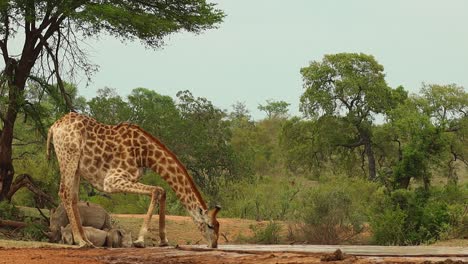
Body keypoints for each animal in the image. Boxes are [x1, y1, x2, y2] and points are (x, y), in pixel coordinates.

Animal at [47, 112, 221, 249]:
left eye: (218, 225)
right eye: (210, 226)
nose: (214, 245)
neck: (146, 155)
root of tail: (54, 126)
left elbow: (162, 190)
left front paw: (163, 240)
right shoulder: (112, 181)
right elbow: (156, 190)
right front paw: (140, 240)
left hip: (76, 166)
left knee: (73, 197)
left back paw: (86, 241)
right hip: (68, 156)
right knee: (64, 193)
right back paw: (81, 241)